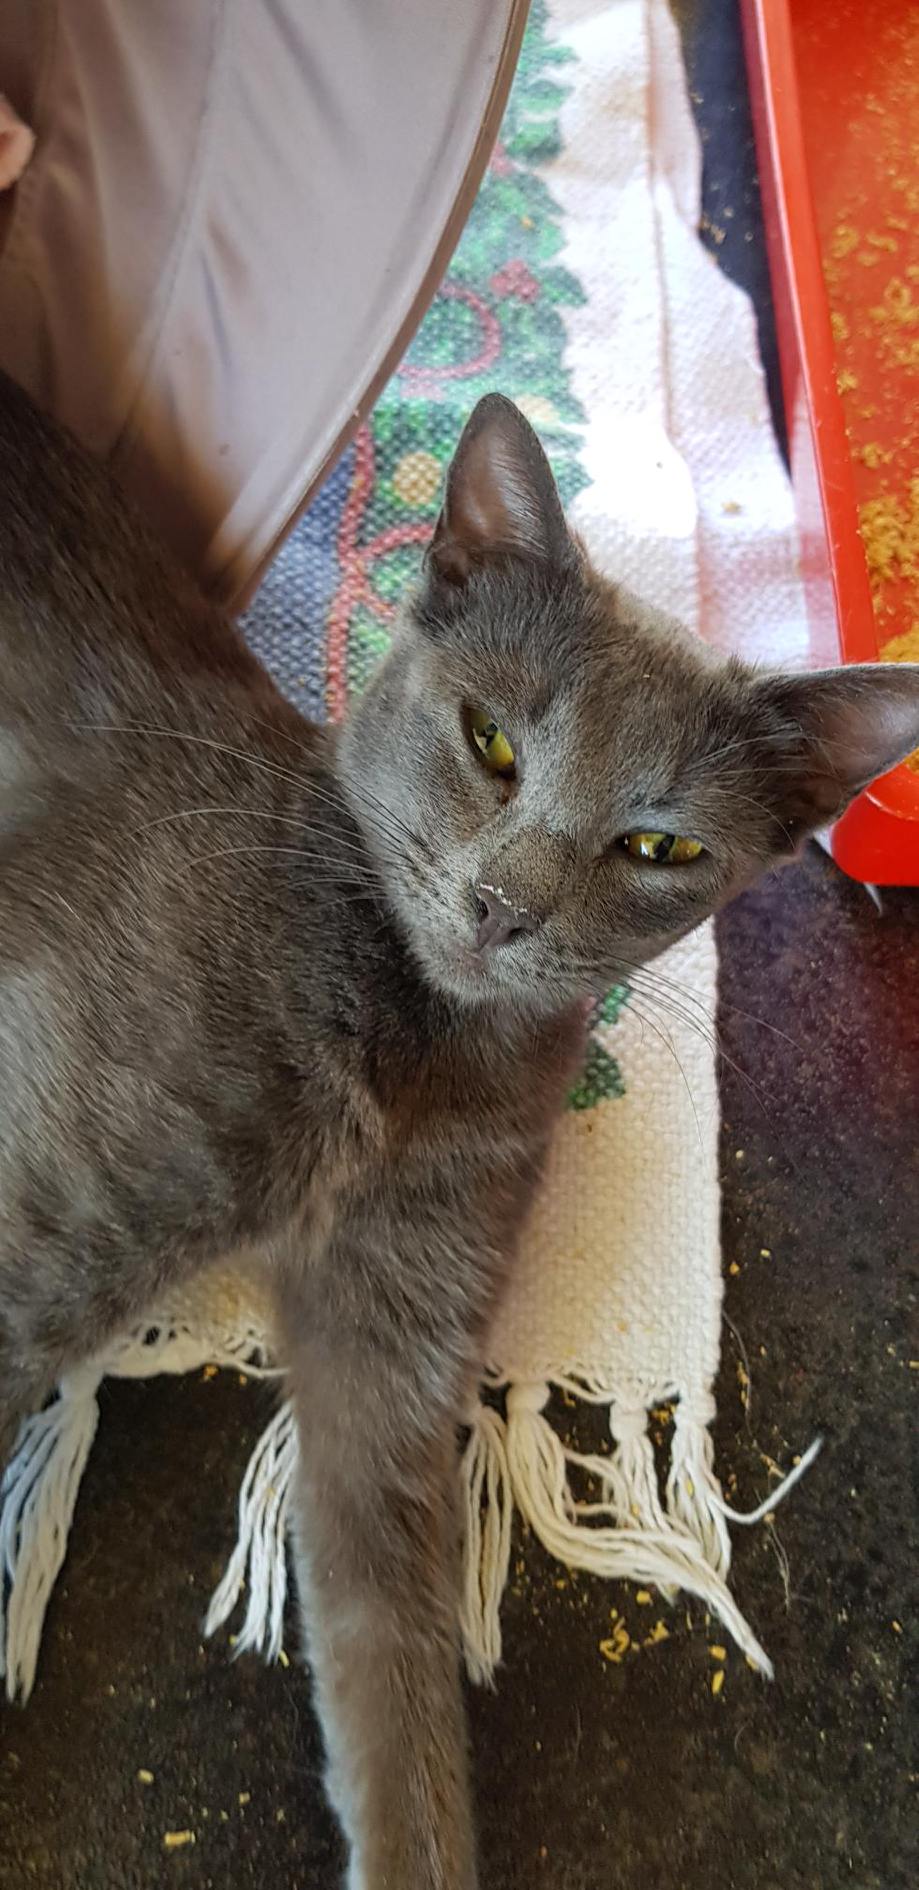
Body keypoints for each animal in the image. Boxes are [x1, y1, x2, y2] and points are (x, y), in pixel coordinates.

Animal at [0, 370, 917, 1889]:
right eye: (491, 741)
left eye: (659, 847)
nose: (501, 906)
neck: (405, 1054)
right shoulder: (49, 1203)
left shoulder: (401, 1332)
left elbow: (398, 1657)